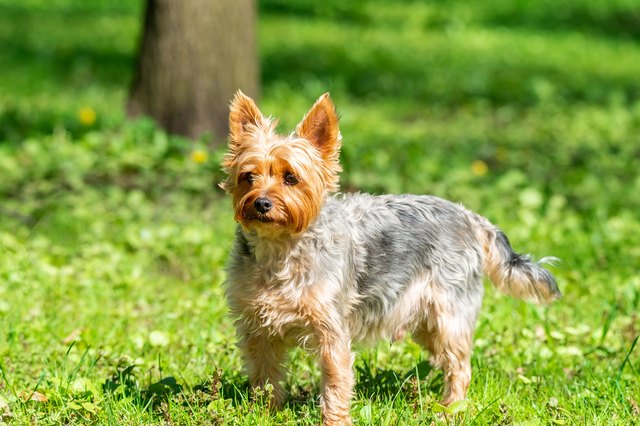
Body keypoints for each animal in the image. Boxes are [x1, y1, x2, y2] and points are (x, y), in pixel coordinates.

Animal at [221, 91, 560, 424]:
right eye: (248, 177)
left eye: (291, 177)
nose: (261, 203)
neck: (279, 249)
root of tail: (469, 216)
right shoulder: (257, 328)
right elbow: (264, 376)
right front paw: (265, 413)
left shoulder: (332, 331)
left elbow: (335, 383)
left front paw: (334, 420)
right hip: (426, 323)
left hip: (449, 315)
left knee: (460, 365)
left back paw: (451, 410)